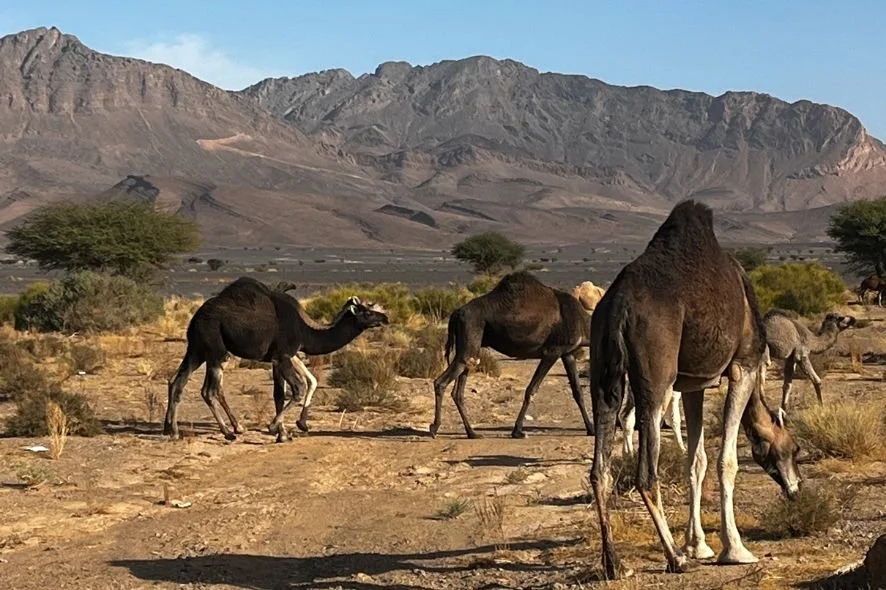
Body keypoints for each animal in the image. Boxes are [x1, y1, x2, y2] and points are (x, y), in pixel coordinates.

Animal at [163, 277, 389, 441]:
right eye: (368, 312)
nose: (386, 318)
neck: (305, 329)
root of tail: (195, 318)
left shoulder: (282, 356)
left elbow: (288, 391)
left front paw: (289, 430)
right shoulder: (282, 356)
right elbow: (296, 389)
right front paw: (275, 428)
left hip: (196, 350)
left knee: (178, 382)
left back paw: (173, 430)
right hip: (216, 350)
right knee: (208, 391)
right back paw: (228, 433)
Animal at [430, 270, 594, 439]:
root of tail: (456, 313)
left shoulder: (567, 353)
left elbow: (578, 391)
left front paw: (591, 429)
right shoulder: (552, 351)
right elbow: (531, 389)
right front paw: (518, 431)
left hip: (469, 350)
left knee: (458, 390)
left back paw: (472, 433)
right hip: (470, 334)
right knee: (441, 382)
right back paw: (434, 428)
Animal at [589, 200, 802, 579]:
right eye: (795, 449)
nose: (795, 488)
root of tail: (618, 306)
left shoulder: (693, 383)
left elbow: (697, 460)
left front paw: (698, 544)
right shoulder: (744, 366)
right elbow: (725, 460)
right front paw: (735, 549)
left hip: (603, 373)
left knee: (600, 469)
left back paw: (615, 564)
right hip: (656, 378)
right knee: (646, 474)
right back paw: (675, 558)